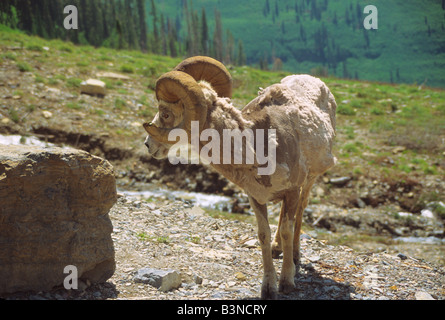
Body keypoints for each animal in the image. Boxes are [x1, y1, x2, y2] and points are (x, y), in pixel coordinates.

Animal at [143, 56, 336, 298]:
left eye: (166, 113)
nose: (148, 145)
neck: (258, 148)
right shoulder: (255, 197)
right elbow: (263, 234)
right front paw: (269, 287)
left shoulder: (292, 190)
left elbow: (287, 230)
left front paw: (287, 282)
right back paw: (277, 250)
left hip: (309, 180)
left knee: (300, 211)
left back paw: (294, 255)